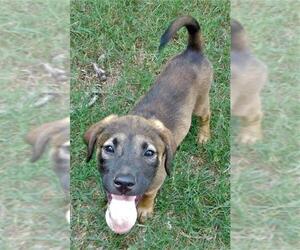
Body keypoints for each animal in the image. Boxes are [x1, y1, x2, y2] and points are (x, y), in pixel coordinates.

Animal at [83, 16, 212, 234]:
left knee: (207, 116)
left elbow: (150, 194)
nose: (124, 184)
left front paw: (144, 209)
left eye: (149, 153)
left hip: (201, 103)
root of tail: (193, 51)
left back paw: (204, 135)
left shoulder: (157, 181)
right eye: (108, 148)